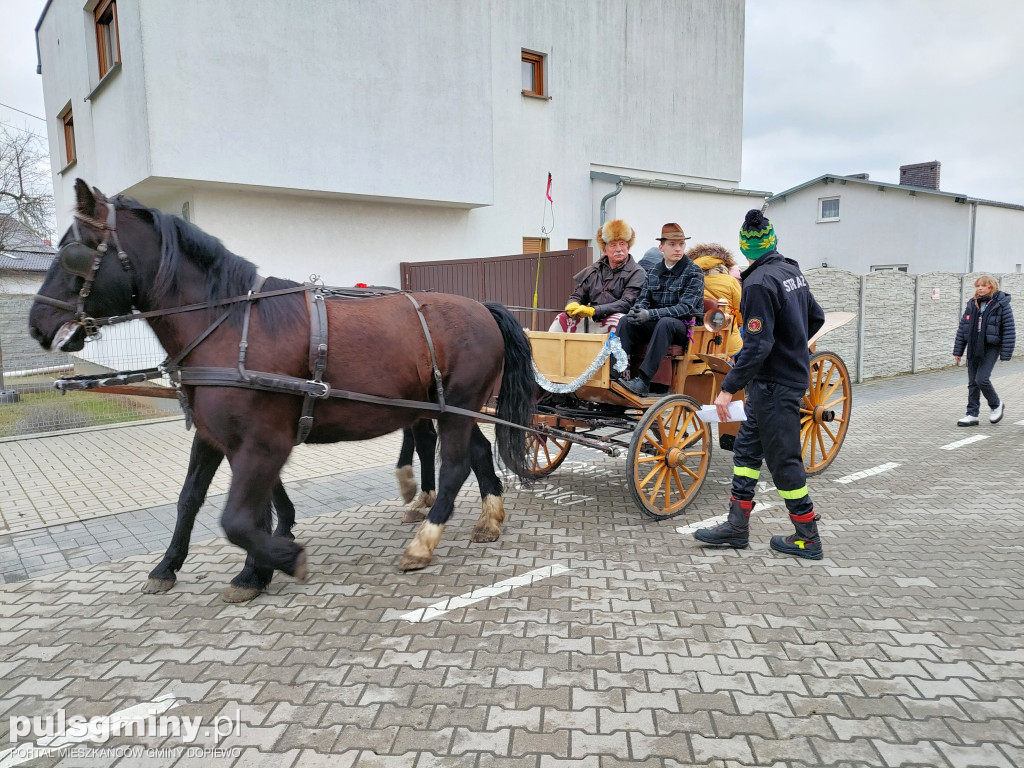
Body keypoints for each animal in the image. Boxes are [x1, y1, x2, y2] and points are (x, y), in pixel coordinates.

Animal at [29, 182, 536, 581]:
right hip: (452, 407)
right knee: (476, 453)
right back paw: (490, 519)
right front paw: (171, 565)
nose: (37, 324)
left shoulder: (263, 442)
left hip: (458, 405)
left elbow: (239, 518)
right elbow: (192, 498)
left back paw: (423, 543)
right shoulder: (217, 436)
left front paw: (274, 562)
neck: (229, 324)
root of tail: (482, 307)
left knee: (454, 467)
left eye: (75, 253)